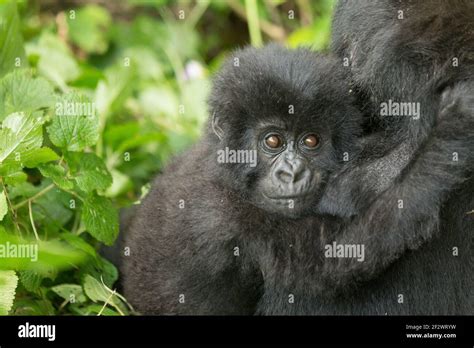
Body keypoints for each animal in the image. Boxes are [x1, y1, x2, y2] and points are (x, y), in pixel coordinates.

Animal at [120, 44, 362, 314]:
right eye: (273, 141)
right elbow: (331, 262)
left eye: (311, 140)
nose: (293, 172)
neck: (226, 176)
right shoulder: (219, 215)